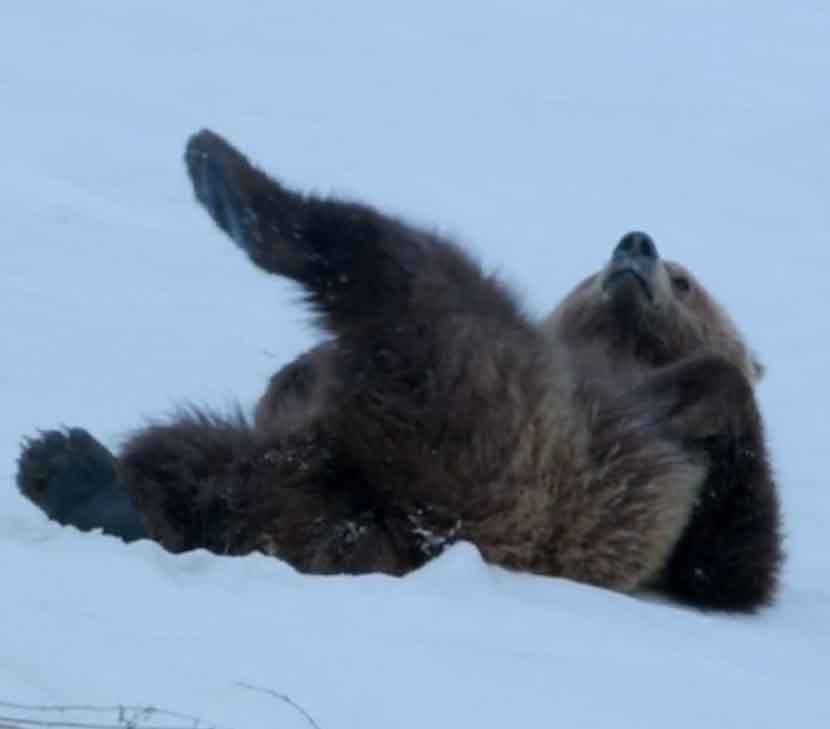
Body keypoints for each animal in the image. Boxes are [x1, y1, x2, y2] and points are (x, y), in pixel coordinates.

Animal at [19, 129, 788, 608]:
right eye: (590, 268)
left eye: (686, 279)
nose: (636, 243)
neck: (620, 348)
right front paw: (296, 369)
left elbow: (728, 559)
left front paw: (701, 386)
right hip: (338, 488)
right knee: (206, 465)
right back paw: (79, 474)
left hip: (483, 411)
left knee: (408, 268)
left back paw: (229, 182)